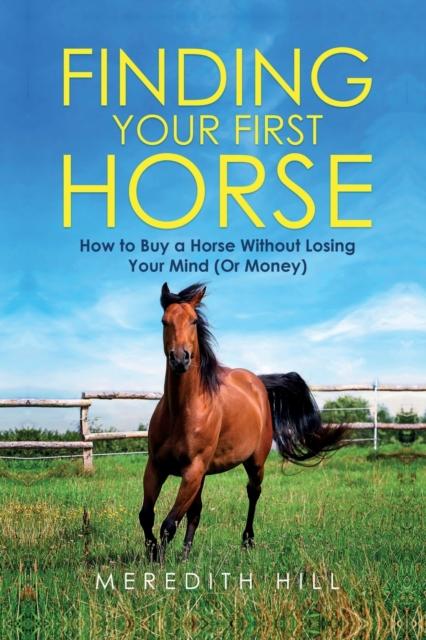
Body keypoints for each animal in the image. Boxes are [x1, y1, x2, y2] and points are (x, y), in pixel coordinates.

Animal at [139, 282, 345, 560]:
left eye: (193, 321)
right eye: (164, 321)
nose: (180, 359)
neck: (181, 411)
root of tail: (258, 382)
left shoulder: (192, 470)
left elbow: (168, 524)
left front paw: (159, 562)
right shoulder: (157, 466)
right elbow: (147, 516)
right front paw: (154, 554)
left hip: (255, 461)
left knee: (253, 492)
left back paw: (247, 541)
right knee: (195, 511)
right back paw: (186, 554)